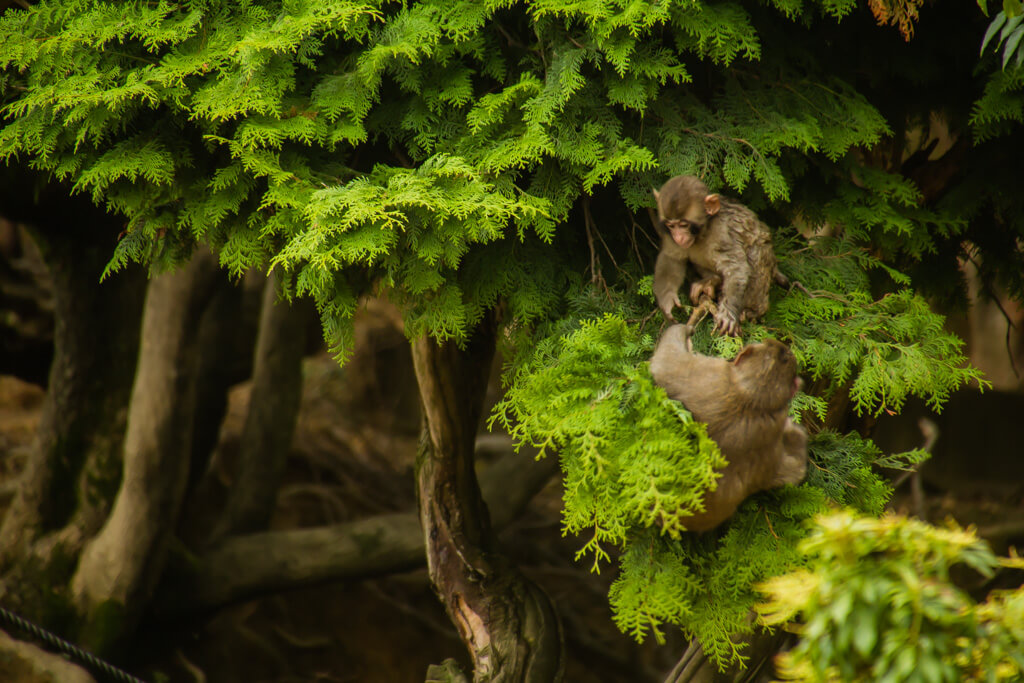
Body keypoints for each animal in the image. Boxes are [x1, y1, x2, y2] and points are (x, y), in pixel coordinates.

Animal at [651, 176, 786, 335]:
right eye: (671, 226)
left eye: (684, 225)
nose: (678, 237)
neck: (703, 232)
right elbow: (672, 258)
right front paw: (667, 299)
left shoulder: (722, 233)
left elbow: (736, 268)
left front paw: (728, 313)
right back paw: (712, 281)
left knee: (755, 255)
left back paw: (753, 310)